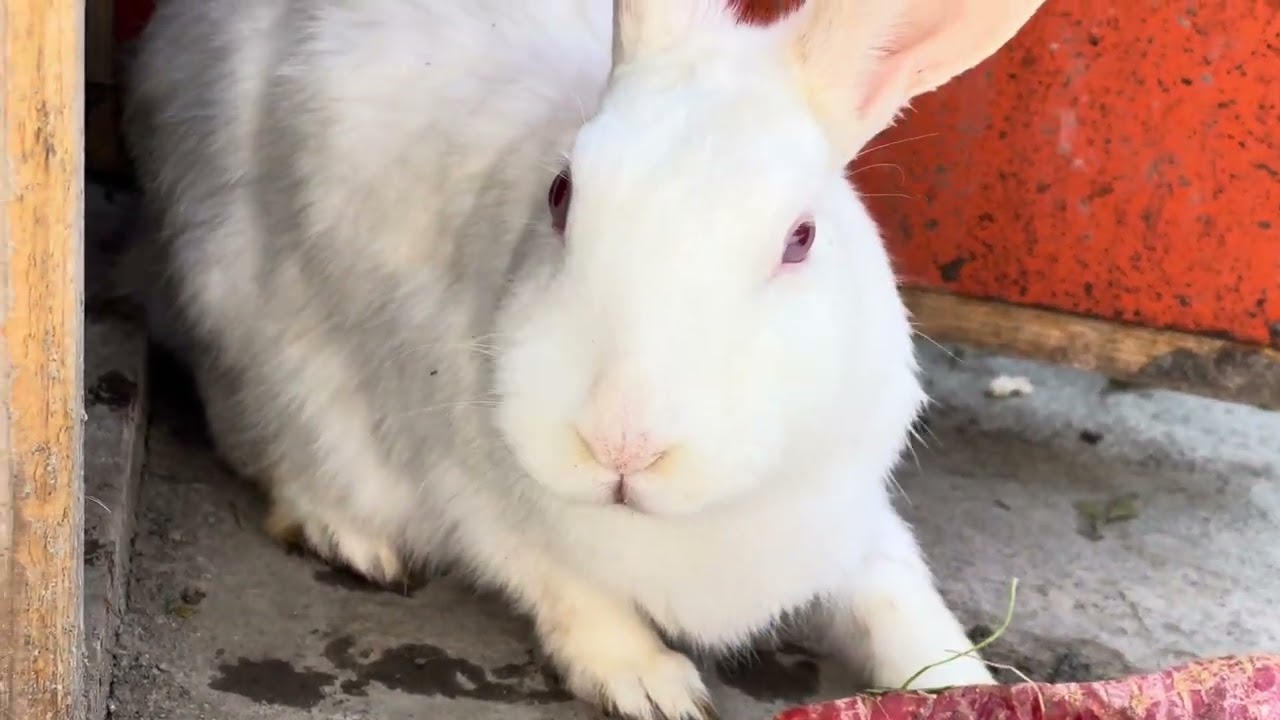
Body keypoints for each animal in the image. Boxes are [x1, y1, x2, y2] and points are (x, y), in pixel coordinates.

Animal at [123, 0, 1046, 717]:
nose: (619, 444)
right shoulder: (473, 490)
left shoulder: (846, 517)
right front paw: (651, 683)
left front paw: (969, 683)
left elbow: (900, 598)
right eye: (562, 195)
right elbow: (567, 586)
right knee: (253, 428)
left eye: (801, 239)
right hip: (237, 313)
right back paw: (349, 534)